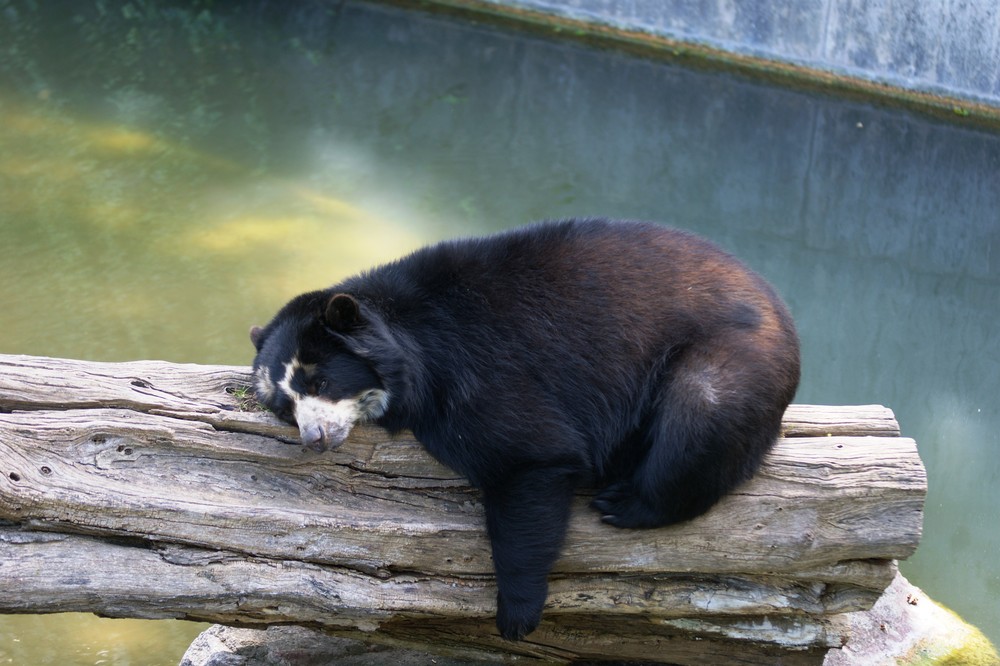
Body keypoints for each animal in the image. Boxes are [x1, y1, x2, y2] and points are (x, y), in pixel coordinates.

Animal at [252, 218, 804, 640]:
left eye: (320, 380)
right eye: (285, 406)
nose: (315, 440)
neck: (411, 341)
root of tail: (785, 319)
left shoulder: (477, 379)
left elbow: (530, 461)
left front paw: (516, 617)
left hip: (728, 361)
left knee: (695, 423)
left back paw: (625, 504)